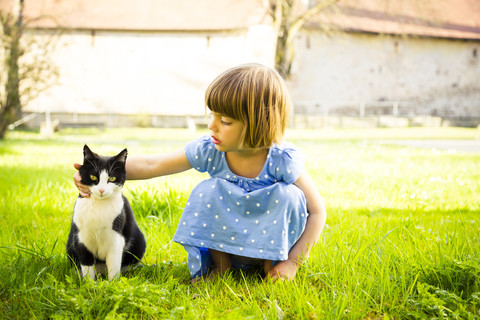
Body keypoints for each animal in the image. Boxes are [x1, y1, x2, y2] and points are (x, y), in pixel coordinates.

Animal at [66, 145, 146, 280]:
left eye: (112, 178)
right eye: (93, 177)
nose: (101, 190)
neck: (99, 206)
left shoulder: (116, 239)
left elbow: (114, 264)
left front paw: (113, 283)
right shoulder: (81, 238)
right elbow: (87, 265)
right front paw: (89, 283)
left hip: (139, 243)